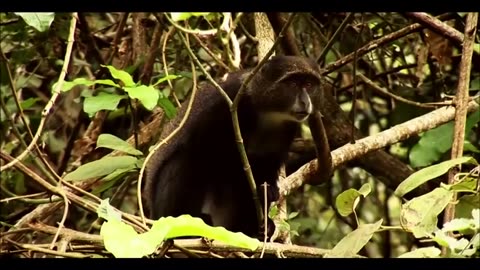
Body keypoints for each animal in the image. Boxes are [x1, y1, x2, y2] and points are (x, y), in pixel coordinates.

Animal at [143, 54, 334, 238]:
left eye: (308, 84)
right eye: (293, 84)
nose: (305, 102)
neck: (267, 112)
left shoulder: (288, 129)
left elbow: (268, 162)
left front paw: (268, 191)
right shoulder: (227, 103)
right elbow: (212, 153)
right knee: (187, 158)